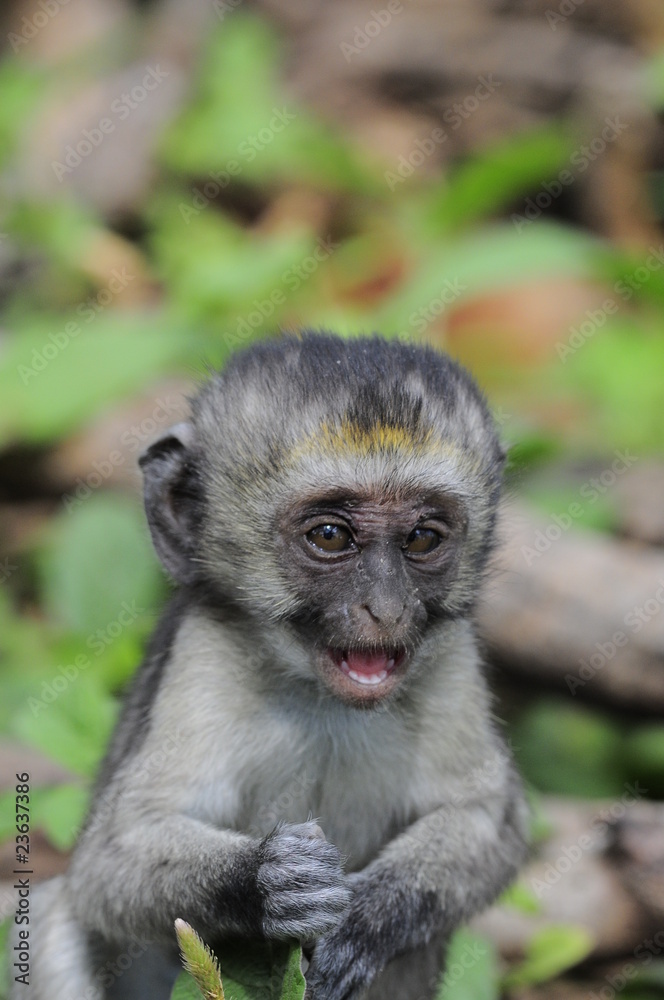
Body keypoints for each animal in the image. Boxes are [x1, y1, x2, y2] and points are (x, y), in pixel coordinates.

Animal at [16, 331, 528, 1000]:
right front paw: (268, 881)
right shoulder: (202, 654)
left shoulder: (452, 655)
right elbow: (108, 861)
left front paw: (364, 920)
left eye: (422, 538)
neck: (321, 697)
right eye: (331, 536)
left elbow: (491, 817)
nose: (388, 609)